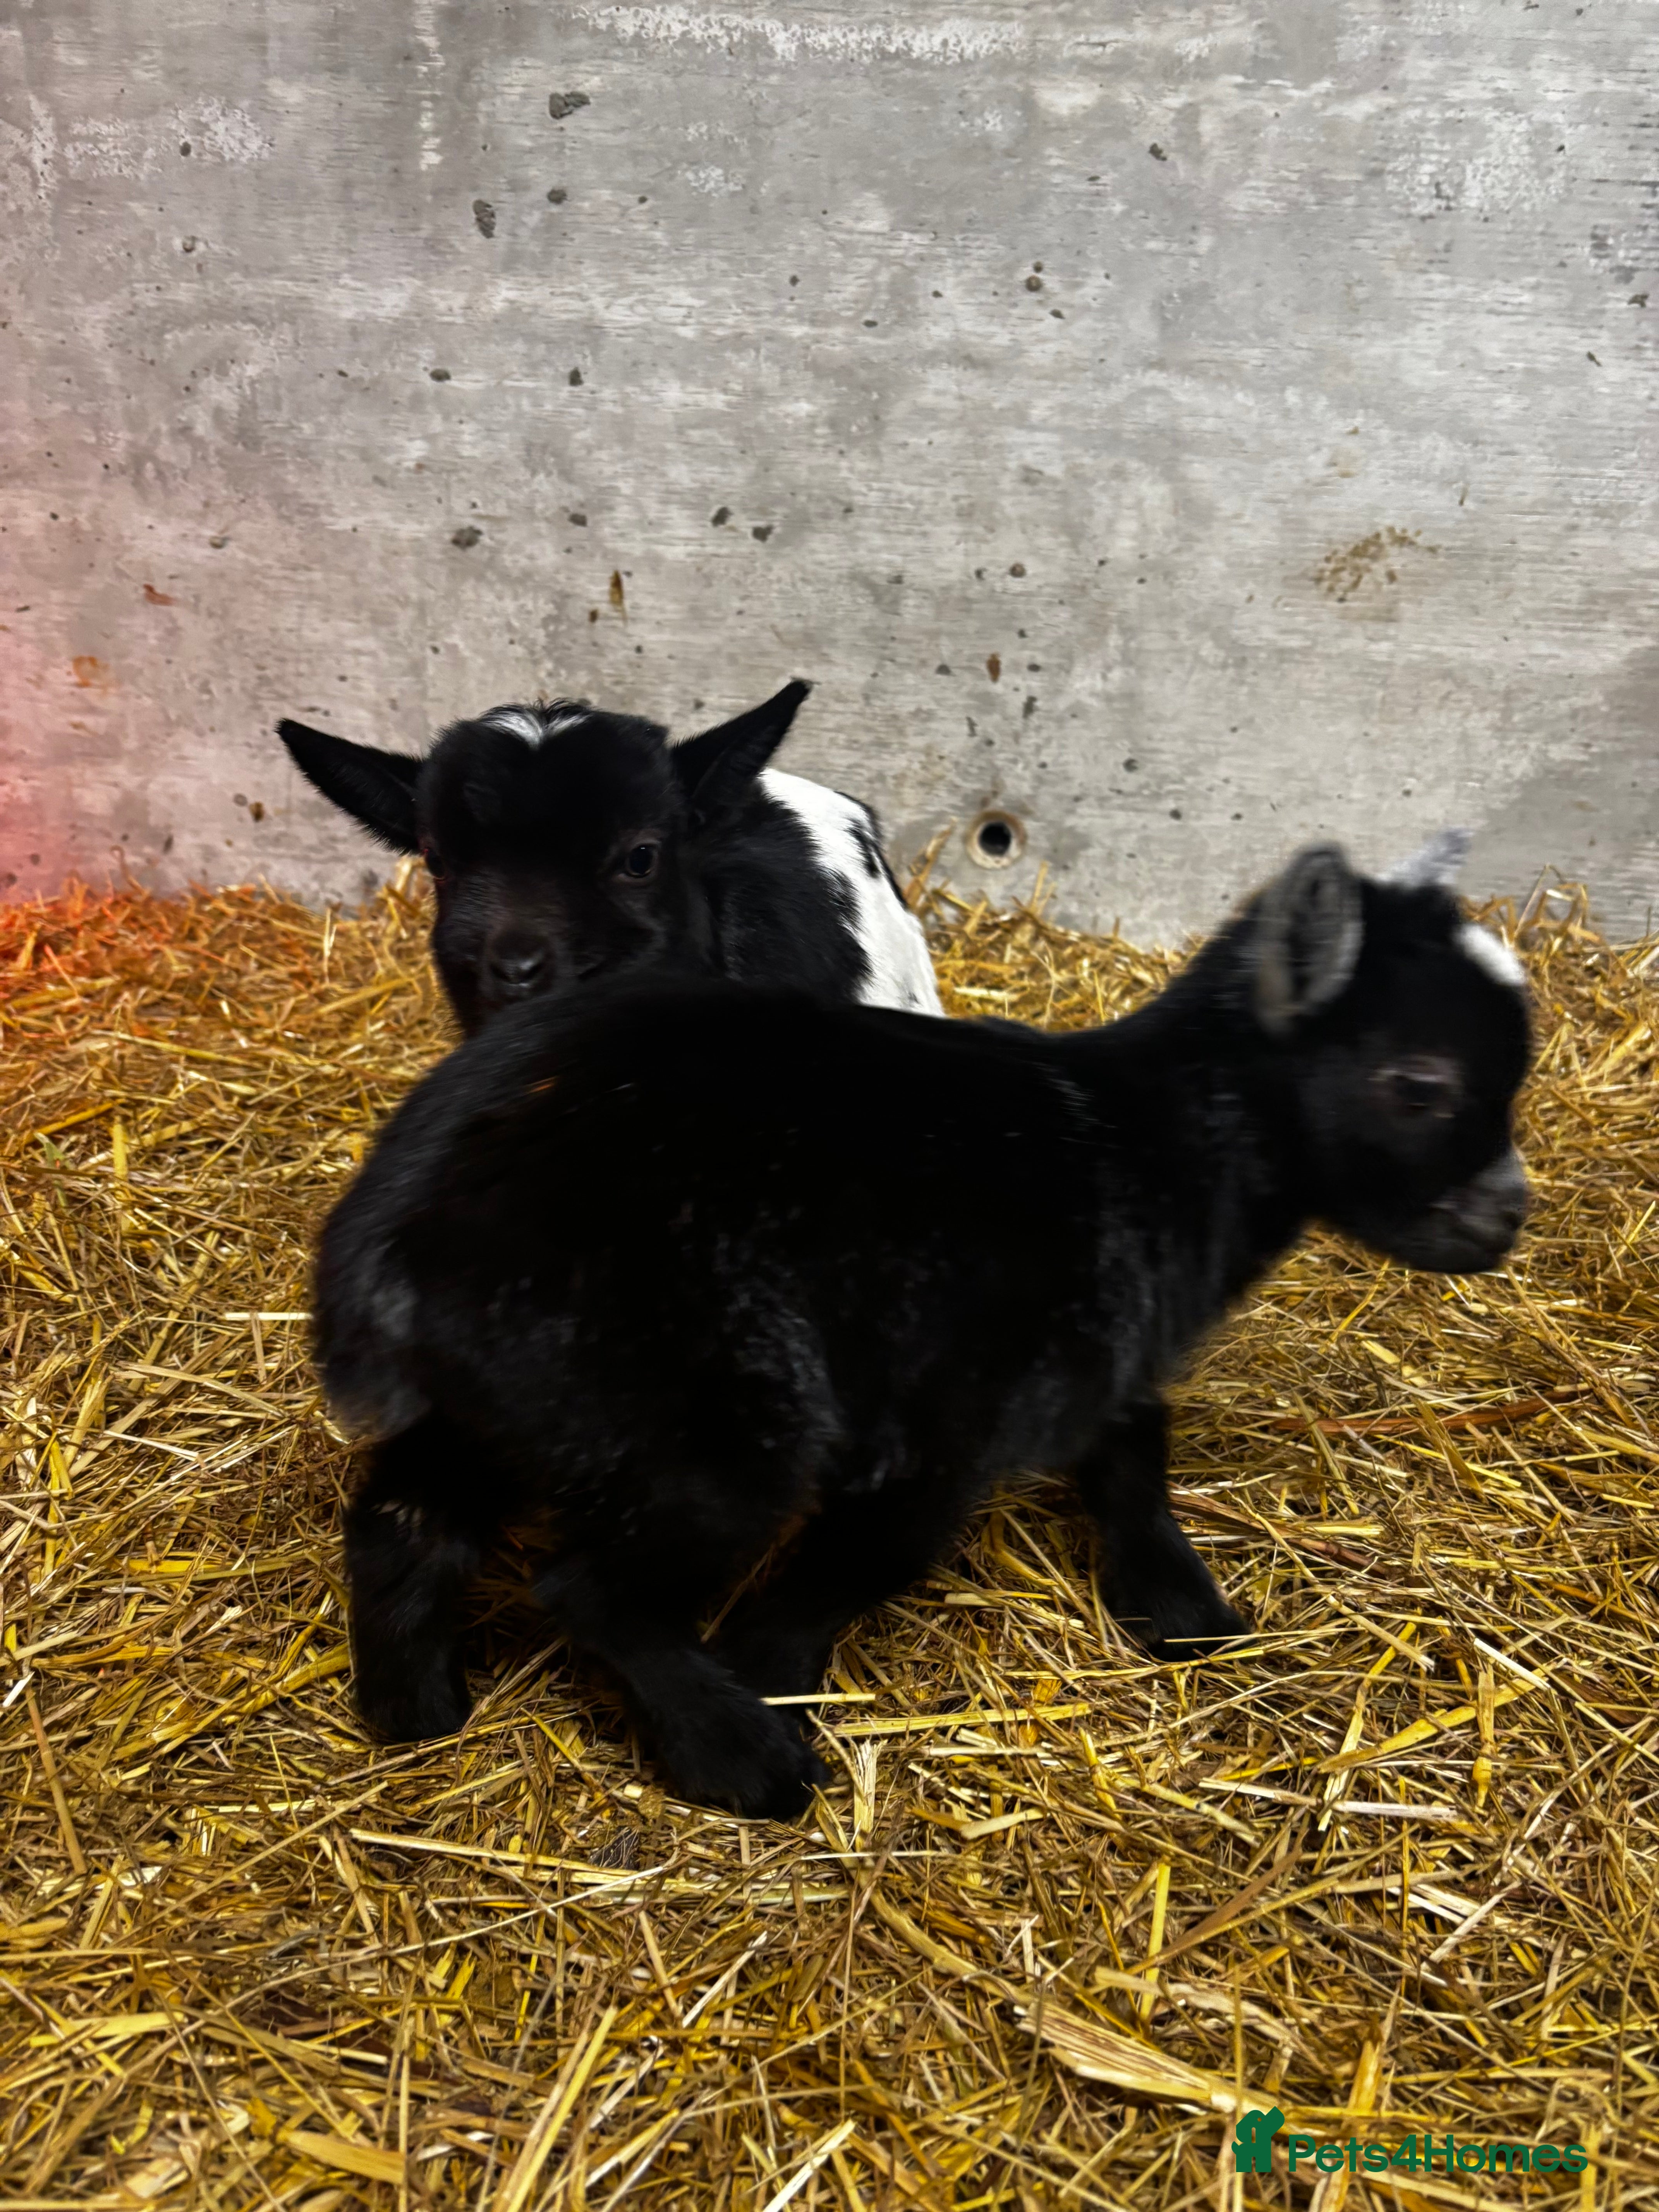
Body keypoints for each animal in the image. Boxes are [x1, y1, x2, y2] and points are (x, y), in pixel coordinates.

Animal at [314, 836, 1531, 1818]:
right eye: (1419, 1085)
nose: (1508, 1214)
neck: (1164, 1137)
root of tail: (386, 1233)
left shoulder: (1094, 1347)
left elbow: (1132, 1456)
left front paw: (1177, 1608)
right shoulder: (947, 1414)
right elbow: (864, 1562)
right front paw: (765, 1674)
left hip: (526, 1382)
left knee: (405, 1520)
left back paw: (415, 1709)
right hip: (700, 1407)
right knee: (589, 1585)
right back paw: (741, 1758)